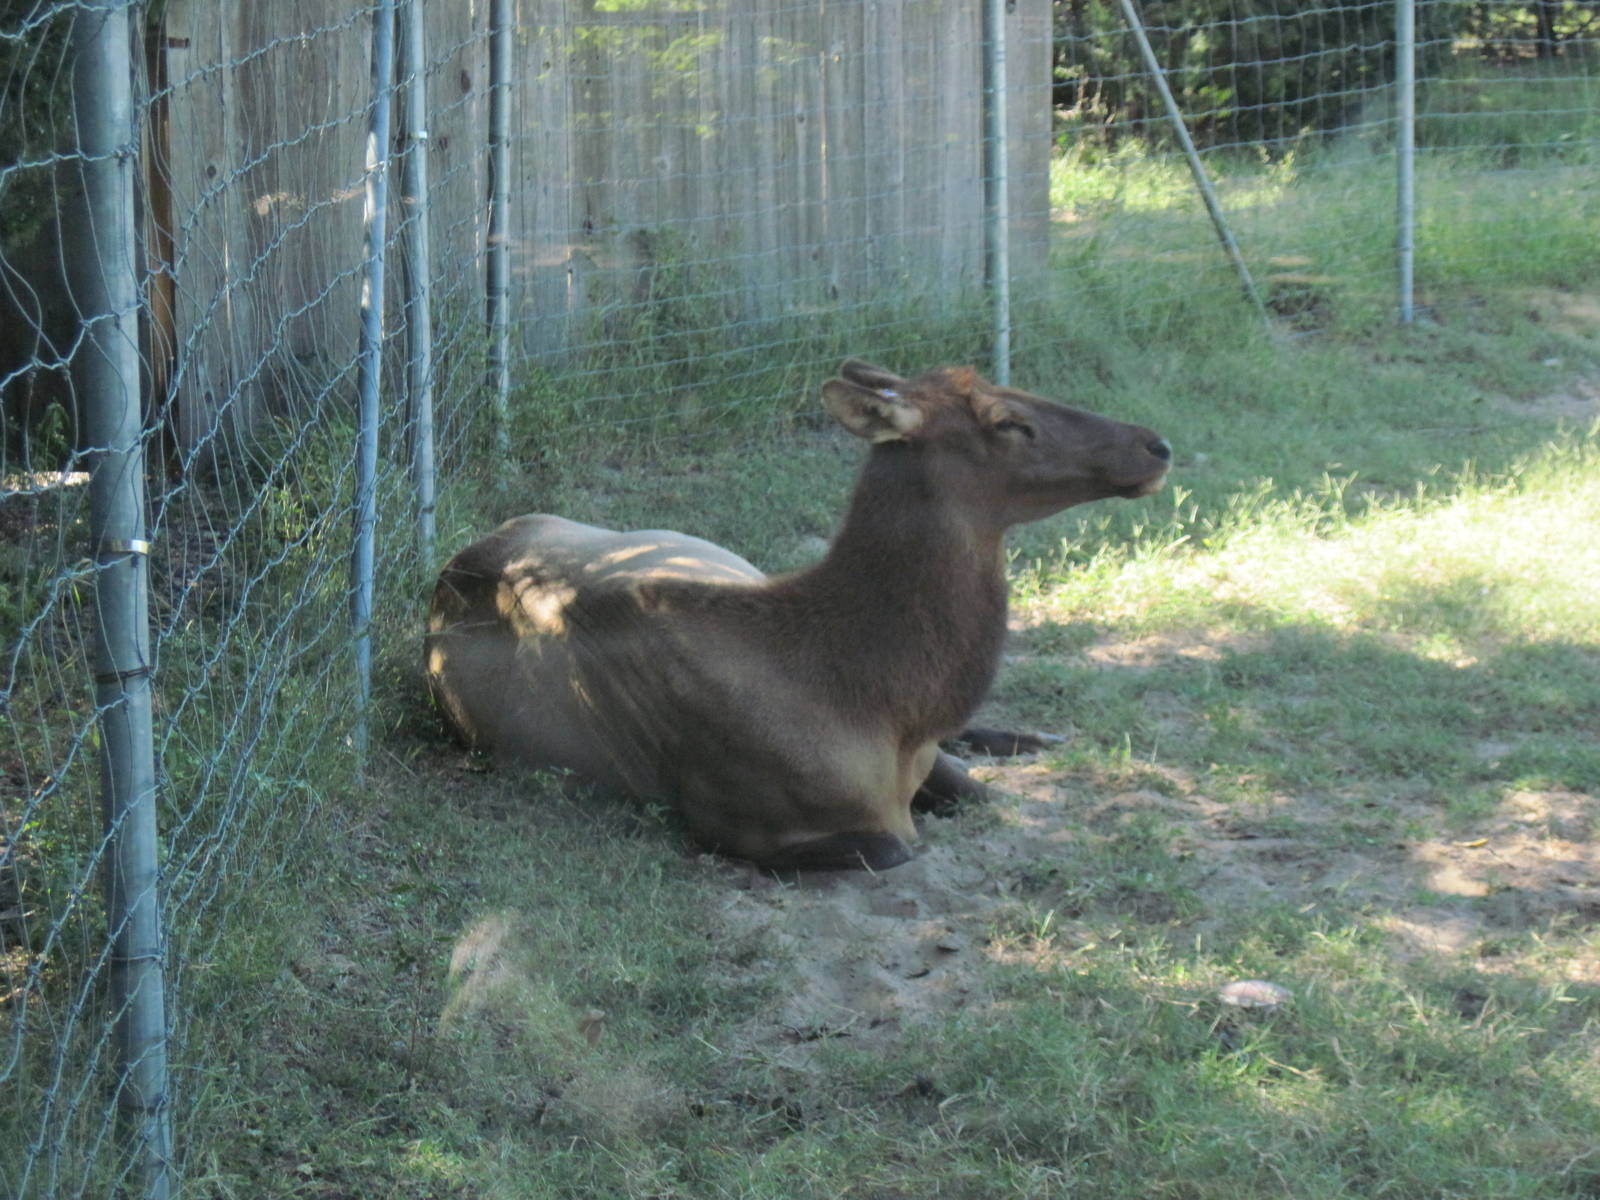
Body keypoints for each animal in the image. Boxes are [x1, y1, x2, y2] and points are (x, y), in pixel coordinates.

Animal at [424, 360, 1171, 870]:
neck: (884, 706)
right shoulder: (726, 819)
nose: (1155, 444)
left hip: (716, 551)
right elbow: (899, 847)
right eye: (1006, 421)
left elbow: (985, 794)